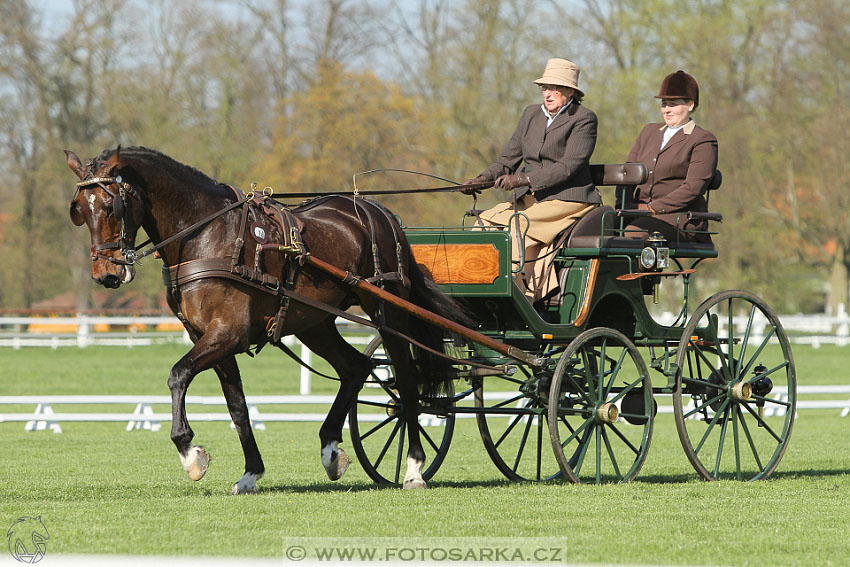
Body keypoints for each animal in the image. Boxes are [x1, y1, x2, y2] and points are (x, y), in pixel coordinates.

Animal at [64, 145, 470, 492]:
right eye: (80, 209)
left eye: (111, 206)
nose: (106, 275)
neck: (206, 234)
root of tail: (380, 212)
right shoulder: (207, 337)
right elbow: (237, 406)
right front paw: (250, 473)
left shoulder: (228, 333)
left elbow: (178, 375)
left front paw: (190, 452)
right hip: (314, 323)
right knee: (355, 368)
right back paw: (330, 450)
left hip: (389, 310)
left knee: (407, 380)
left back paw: (414, 468)